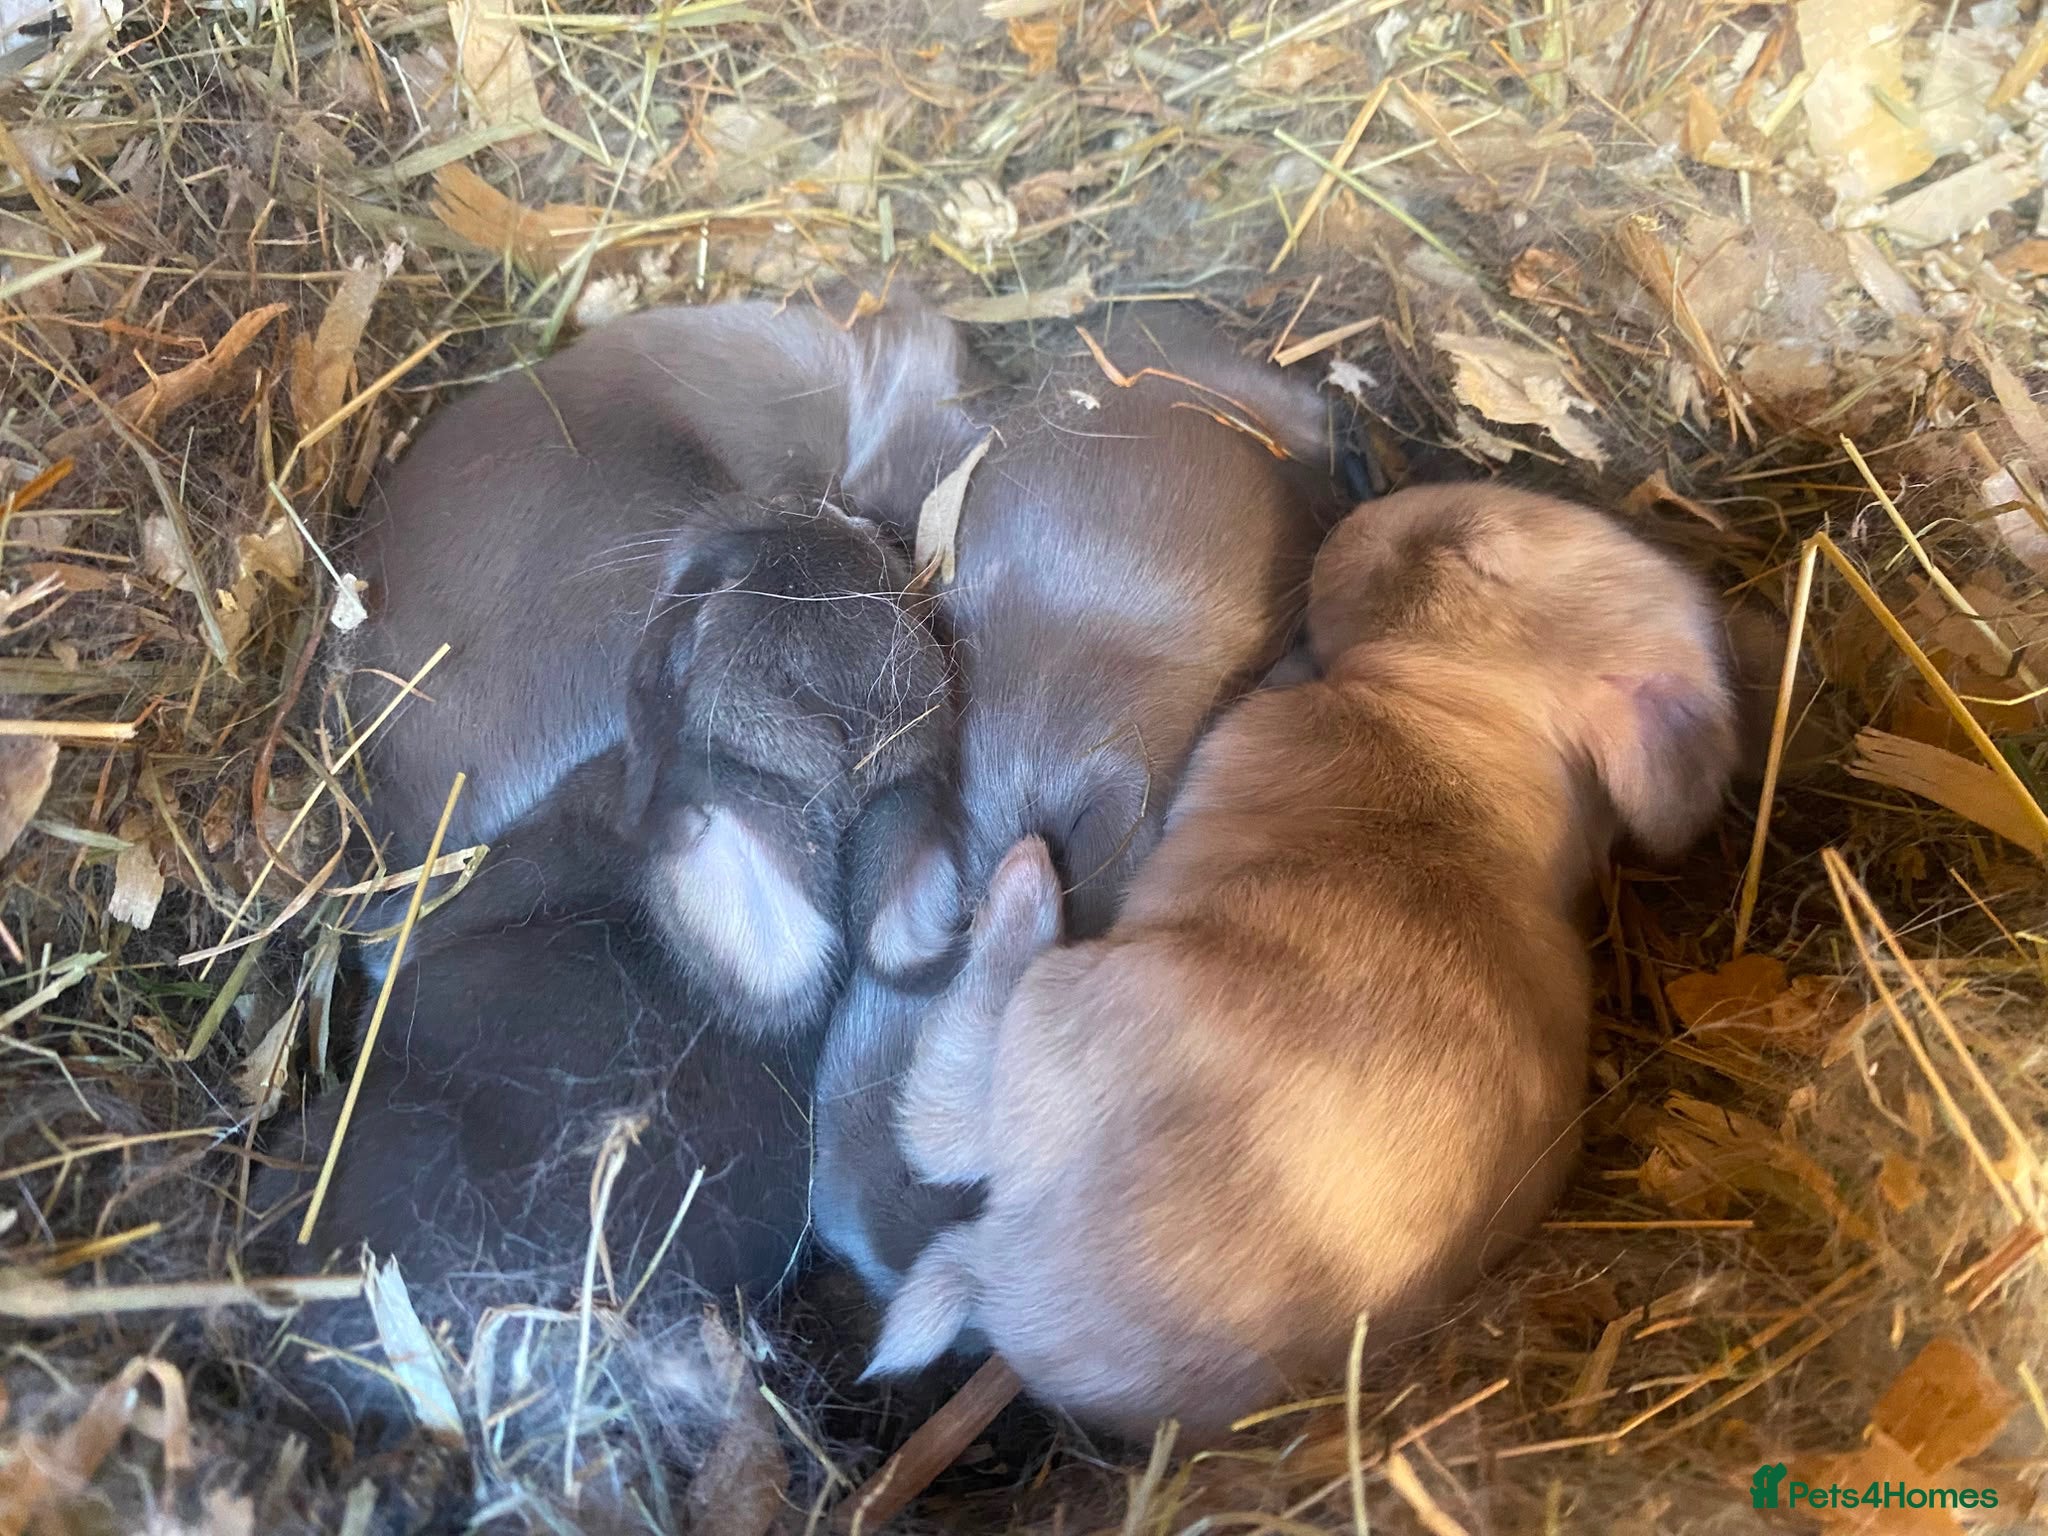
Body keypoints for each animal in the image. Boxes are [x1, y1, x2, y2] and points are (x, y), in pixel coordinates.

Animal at [863, 484, 1744, 1440]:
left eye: (1461, 549)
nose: (1359, 513)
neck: (1480, 719)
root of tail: (1002, 1282)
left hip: (1058, 1011)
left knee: (944, 1116)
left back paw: (1024, 879)